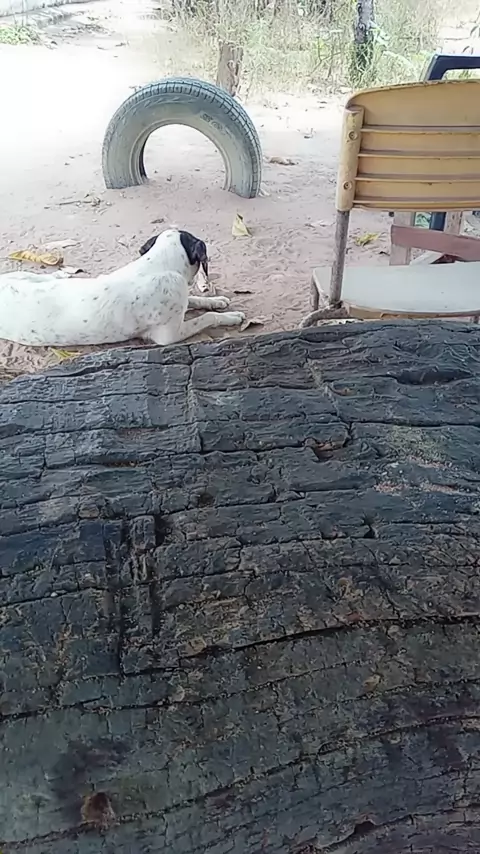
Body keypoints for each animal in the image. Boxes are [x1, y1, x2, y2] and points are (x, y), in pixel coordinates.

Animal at [0, 229, 245, 347]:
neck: (158, 264)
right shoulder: (169, 335)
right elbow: (207, 318)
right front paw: (231, 317)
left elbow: (195, 300)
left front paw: (216, 301)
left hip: (27, 276)